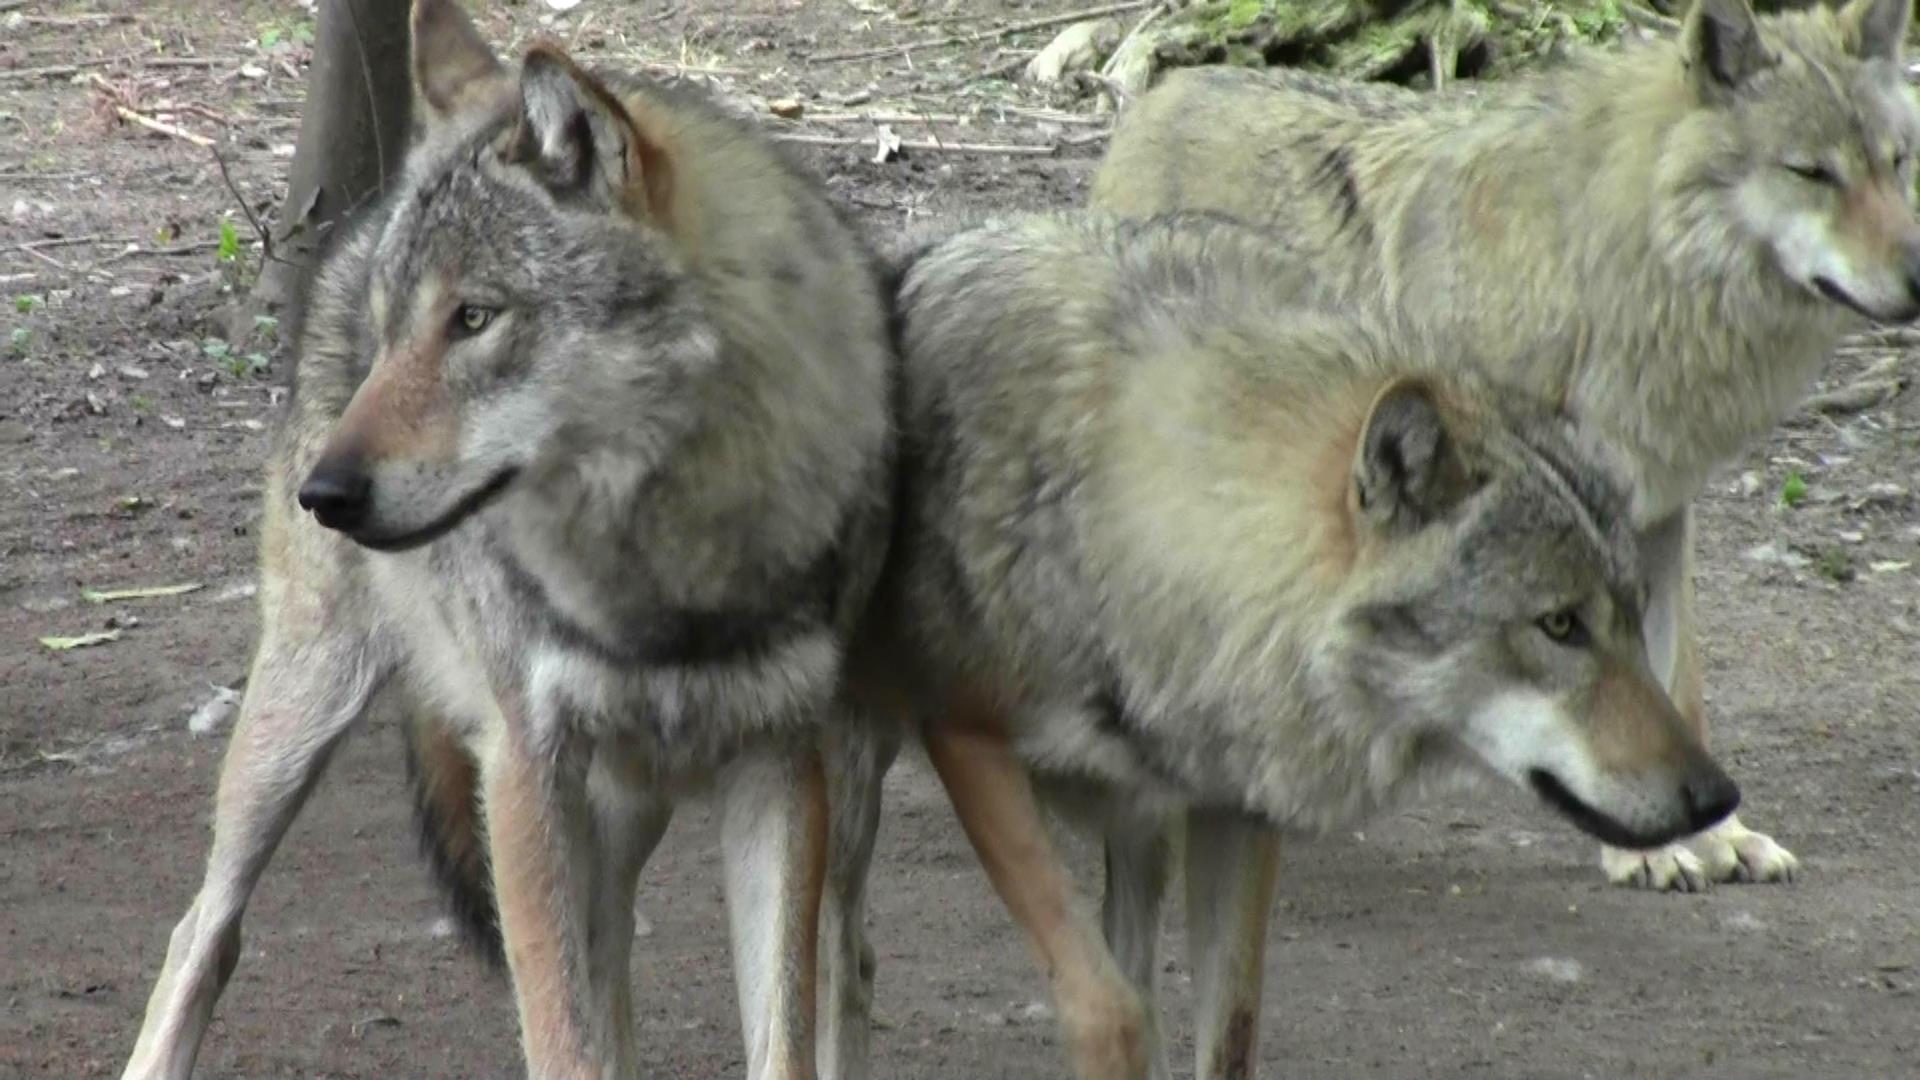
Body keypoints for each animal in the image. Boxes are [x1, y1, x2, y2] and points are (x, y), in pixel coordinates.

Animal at [117, 2, 894, 1078]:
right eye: (392, 333)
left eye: (474, 318)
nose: (327, 493)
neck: (665, 561)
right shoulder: (525, 765)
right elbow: (563, 1040)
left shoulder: (782, 764)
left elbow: (778, 1032)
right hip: (305, 707)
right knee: (206, 928)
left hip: (680, 800)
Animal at [855, 211, 1737, 1080]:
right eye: (1559, 625)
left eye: (1633, 615)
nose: (1716, 799)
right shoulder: (969, 741)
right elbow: (1110, 1013)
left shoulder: (1235, 807)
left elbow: (1229, 1030)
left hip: (1139, 831)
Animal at [1090, 0, 1920, 901]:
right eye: (1812, 173)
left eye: (1895, 164)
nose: (1919, 280)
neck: (1618, 273)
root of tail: (1166, 93)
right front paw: (1649, 850)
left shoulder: (1657, 517)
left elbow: (1677, 685)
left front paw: (1714, 836)